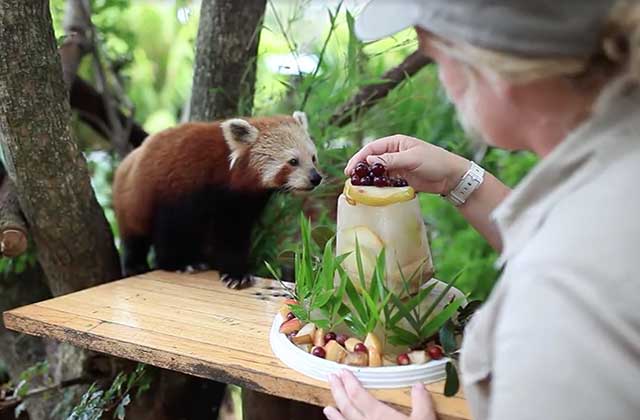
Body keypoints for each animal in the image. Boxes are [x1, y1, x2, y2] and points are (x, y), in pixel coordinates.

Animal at [113, 111, 322, 288]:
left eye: (313, 158)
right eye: (293, 161)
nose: (316, 178)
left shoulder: (240, 202)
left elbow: (233, 235)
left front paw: (236, 273)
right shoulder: (178, 190)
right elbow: (170, 231)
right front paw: (177, 263)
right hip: (132, 200)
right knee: (135, 236)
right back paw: (136, 265)